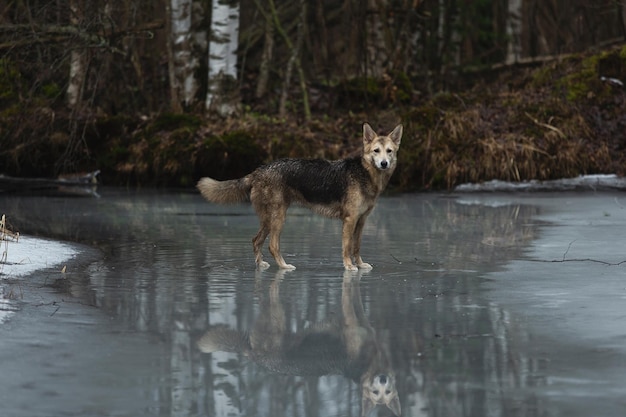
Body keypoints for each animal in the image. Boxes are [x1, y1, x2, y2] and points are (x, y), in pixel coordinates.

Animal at [196, 122, 400, 270]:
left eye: (389, 151)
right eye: (376, 151)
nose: (384, 163)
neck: (366, 175)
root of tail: (258, 171)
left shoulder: (361, 221)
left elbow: (356, 247)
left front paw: (360, 265)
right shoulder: (349, 220)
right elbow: (347, 246)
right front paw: (349, 266)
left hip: (269, 220)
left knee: (256, 241)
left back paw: (261, 265)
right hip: (278, 218)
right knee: (272, 245)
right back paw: (284, 266)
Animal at [199, 270, 400, 416]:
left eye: (388, 392)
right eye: (375, 393)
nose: (383, 379)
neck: (368, 367)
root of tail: (253, 355)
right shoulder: (350, 320)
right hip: (276, 314)